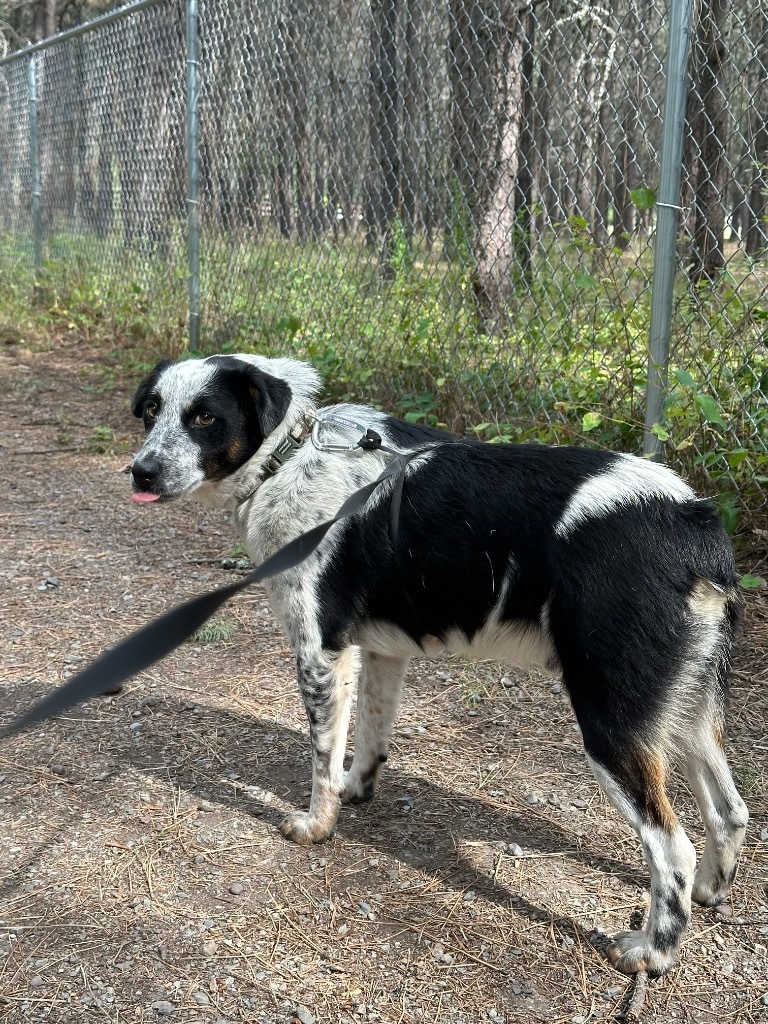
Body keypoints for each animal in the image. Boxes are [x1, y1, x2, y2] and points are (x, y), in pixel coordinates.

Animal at [132, 352, 753, 974]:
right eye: (154, 411)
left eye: (204, 417)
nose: (140, 472)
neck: (291, 456)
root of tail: (693, 522)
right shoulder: (381, 653)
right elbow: (370, 739)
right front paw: (357, 790)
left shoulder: (320, 652)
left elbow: (322, 762)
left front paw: (316, 825)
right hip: (687, 715)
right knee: (730, 811)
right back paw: (710, 893)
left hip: (613, 724)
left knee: (673, 848)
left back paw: (653, 950)